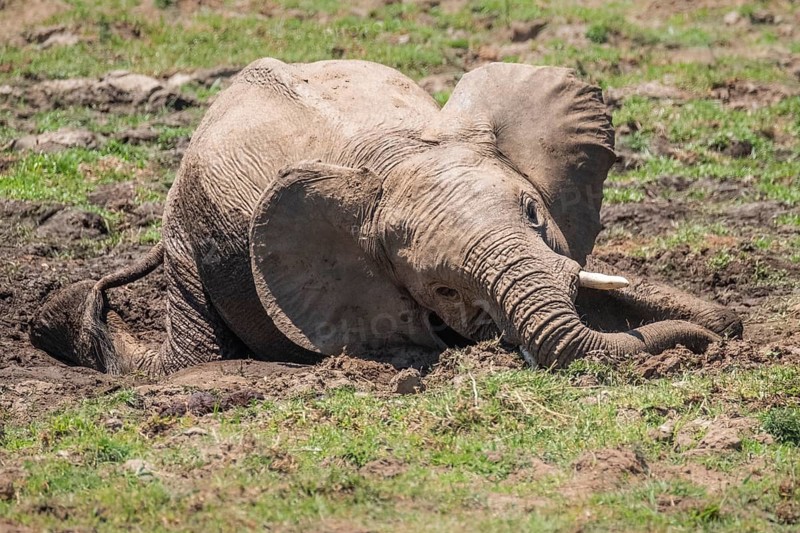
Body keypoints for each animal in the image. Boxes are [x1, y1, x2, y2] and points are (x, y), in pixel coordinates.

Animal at [29, 58, 743, 376]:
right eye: (442, 290)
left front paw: (713, 324)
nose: (690, 349)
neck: (401, 150)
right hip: (188, 240)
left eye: (536, 213)